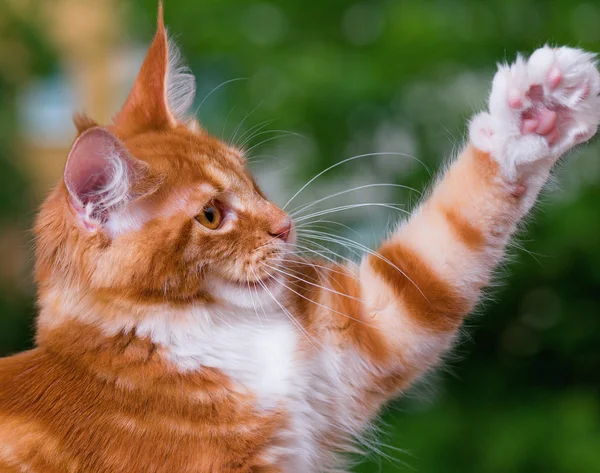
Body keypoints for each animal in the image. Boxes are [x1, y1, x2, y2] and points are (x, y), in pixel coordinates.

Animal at [1, 3, 600, 472]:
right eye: (212, 215)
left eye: (250, 179)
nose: (284, 225)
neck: (203, 332)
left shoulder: (373, 327)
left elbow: (454, 228)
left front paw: (534, 114)